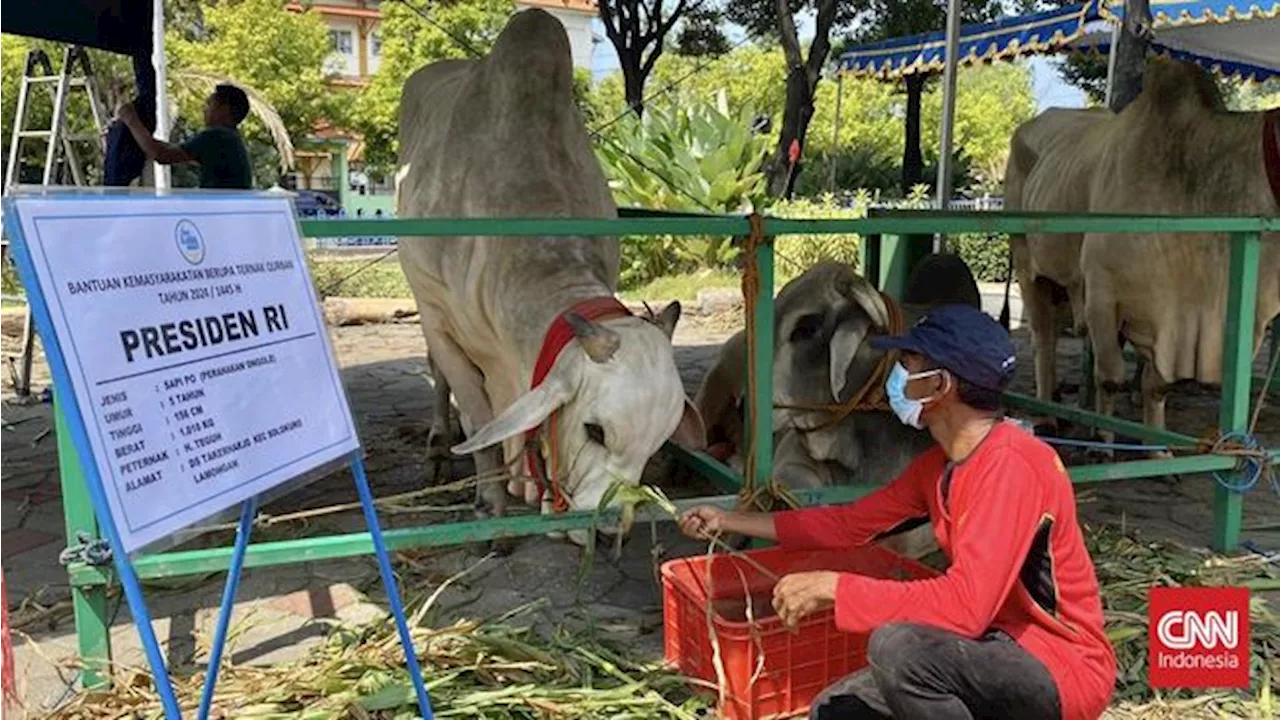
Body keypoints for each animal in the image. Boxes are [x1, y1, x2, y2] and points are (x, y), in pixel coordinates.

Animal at [394, 9, 706, 538]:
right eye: (594, 430)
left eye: (658, 439)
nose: (607, 529)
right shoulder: (439, 314)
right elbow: (477, 416)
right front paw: (490, 502)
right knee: (438, 376)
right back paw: (438, 446)